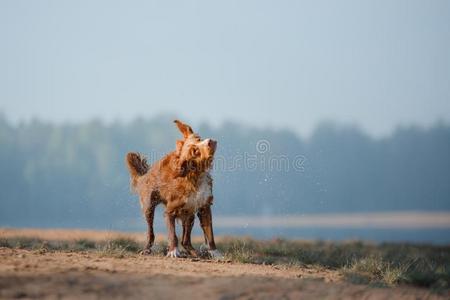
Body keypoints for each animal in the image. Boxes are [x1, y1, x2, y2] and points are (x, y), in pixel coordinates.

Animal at [125, 119, 223, 258]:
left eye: (199, 139)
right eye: (195, 152)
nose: (209, 141)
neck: (195, 177)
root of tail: (146, 174)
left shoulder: (204, 207)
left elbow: (210, 234)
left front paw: (215, 253)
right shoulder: (170, 210)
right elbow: (172, 234)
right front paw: (173, 251)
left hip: (189, 213)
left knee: (185, 240)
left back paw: (193, 252)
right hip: (149, 207)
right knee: (151, 232)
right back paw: (147, 249)